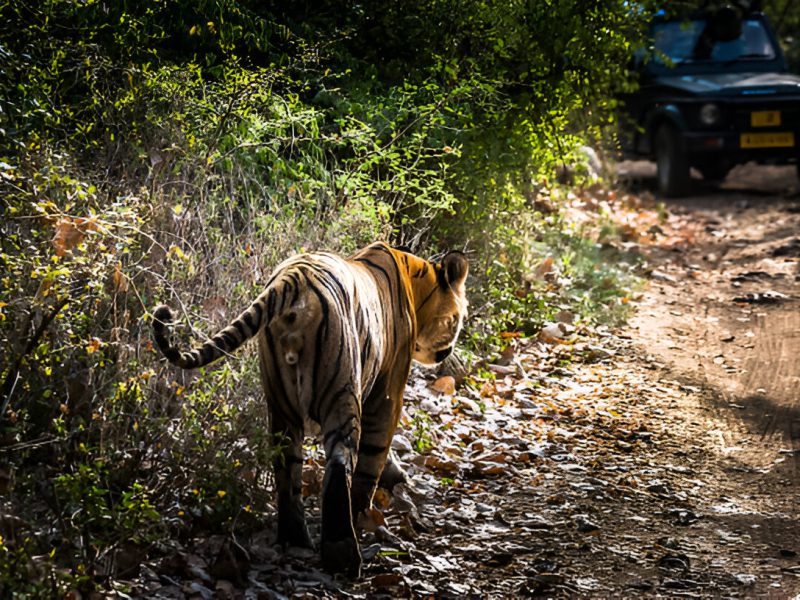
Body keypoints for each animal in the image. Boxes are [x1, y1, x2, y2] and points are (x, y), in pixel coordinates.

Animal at [152, 241, 469, 576]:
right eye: (457, 318)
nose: (447, 352)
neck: (415, 281)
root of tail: (292, 279)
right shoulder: (387, 393)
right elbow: (374, 456)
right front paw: (368, 514)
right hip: (343, 393)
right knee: (340, 466)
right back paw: (343, 554)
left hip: (281, 405)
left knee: (286, 469)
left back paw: (295, 537)